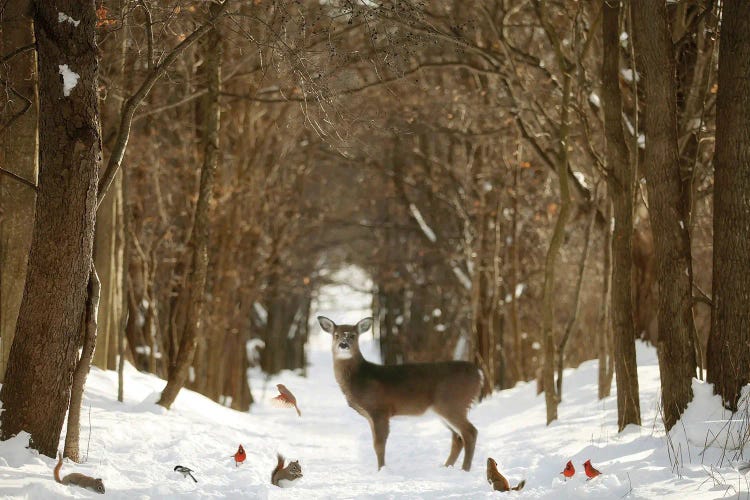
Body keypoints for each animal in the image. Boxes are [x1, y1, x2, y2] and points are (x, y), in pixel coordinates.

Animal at [318, 314, 482, 470]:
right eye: (336, 335)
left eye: (353, 335)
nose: (343, 344)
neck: (360, 378)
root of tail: (479, 374)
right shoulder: (371, 415)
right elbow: (375, 443)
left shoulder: (379, 409)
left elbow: (379, 444)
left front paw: (381, 469)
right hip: (446, 409)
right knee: (458, 437)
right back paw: (446, 467)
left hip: (452, 403)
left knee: (470, 432)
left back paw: (464, 469)